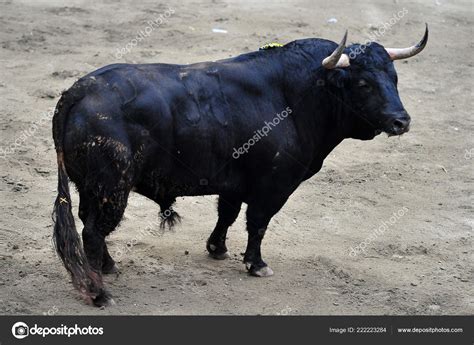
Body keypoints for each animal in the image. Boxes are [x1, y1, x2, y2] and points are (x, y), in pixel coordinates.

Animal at [51, 28, 426, 306]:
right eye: (363, 83)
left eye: (394, 78)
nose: (401, 121)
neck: (299, 94)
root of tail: (78, 91)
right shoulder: (274, 185)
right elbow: (257, 223)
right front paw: (256, 264)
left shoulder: (234, 182)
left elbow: (227, 215)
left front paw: (217, 249)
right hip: (111, 188)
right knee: (93, 232)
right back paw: (99, 293)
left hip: (92, 188)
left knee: (89, 224)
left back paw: (108, 267)